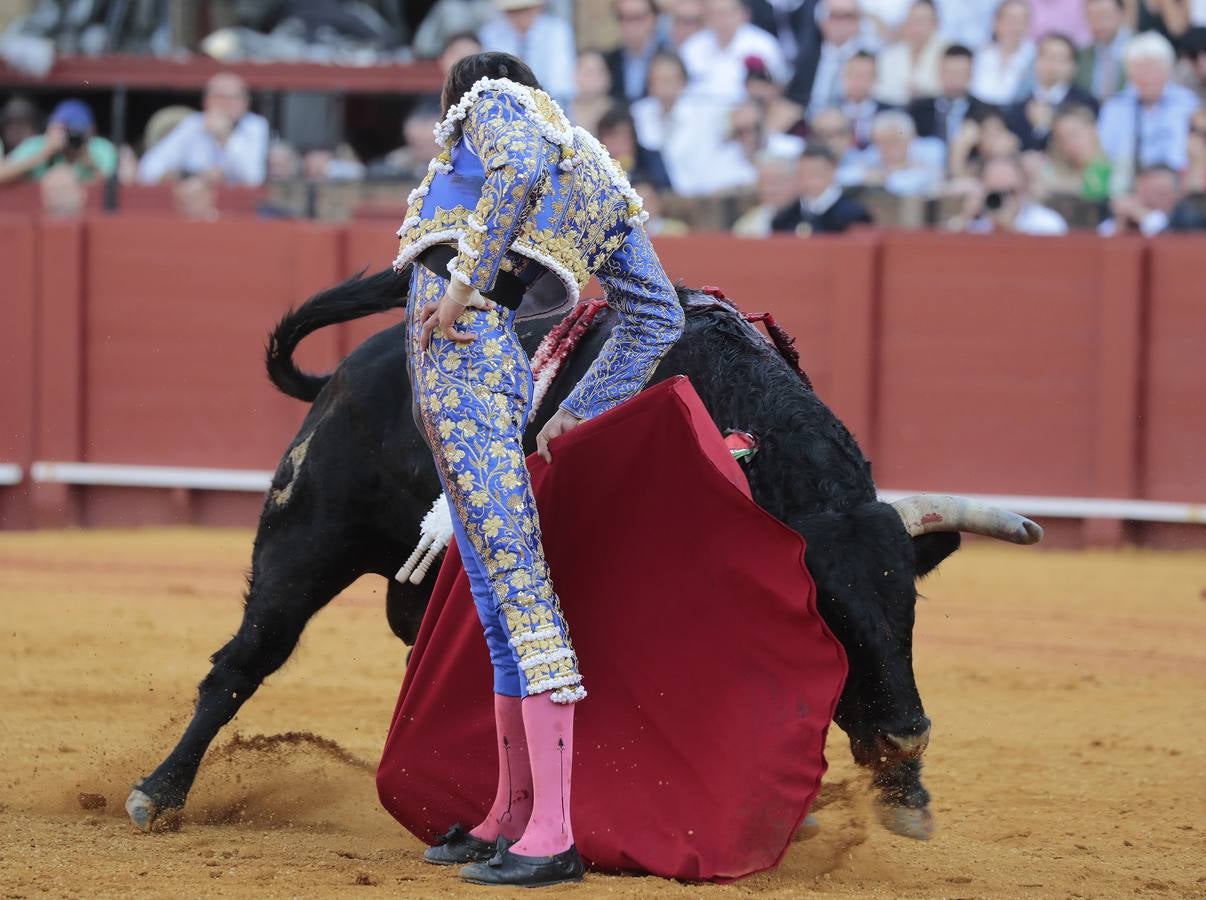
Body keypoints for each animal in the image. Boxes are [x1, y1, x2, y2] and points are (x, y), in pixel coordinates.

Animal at [127, 264, 1041, 834]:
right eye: (827, 615)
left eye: (907, 608)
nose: (904, 740)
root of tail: (347, 375)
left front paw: (900, 799)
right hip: (305, 538)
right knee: (246, 658)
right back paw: (157, 793)